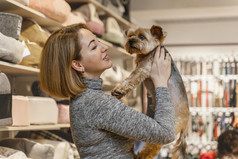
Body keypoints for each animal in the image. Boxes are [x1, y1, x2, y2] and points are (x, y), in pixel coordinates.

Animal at [111, 25, 190, 158]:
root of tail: (186, 123)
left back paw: (140, 155)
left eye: (141, 36)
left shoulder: (143, 69)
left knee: (153, 148)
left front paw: (119, 90)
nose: (130, 40)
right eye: (130, 35)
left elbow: (131, 78)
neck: (146, 54)